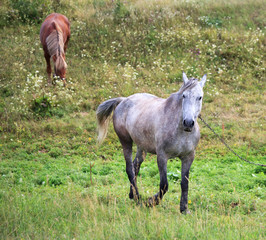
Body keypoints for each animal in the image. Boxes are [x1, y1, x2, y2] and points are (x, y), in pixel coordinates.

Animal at [96, 72, 207, 213]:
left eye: (200, 97)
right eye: (184, 96)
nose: (188, 122)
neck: (181, 130)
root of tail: (124, 100)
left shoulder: (188, 157)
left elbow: (184, 183)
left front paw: (184, 209)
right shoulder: (162, 156)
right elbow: (164, 184)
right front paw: (150, 202)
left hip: (141, 145)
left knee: (135, 166)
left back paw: (132, 194)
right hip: (126, 141)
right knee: (129, 169)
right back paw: (137, 198)